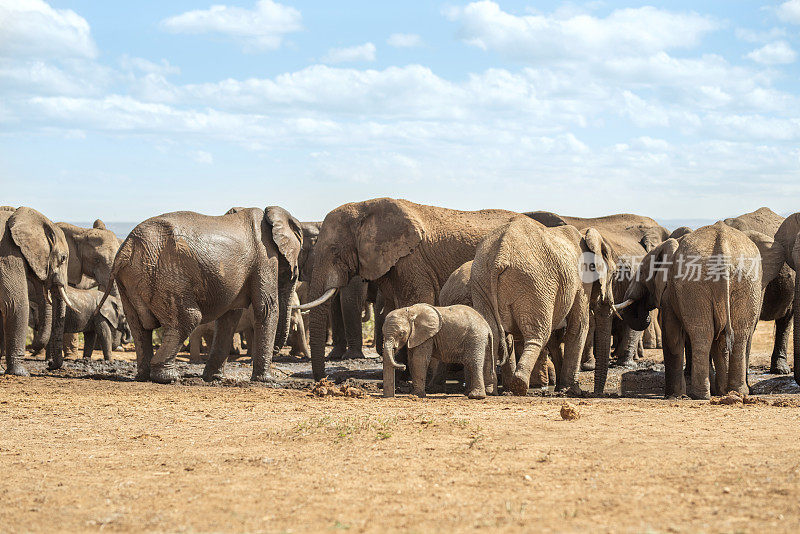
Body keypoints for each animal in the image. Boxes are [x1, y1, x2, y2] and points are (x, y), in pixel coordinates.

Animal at [97, 206, 304, 386]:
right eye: (290, 273)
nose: (278, 349)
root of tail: (126, 249)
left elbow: (229, 317)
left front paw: (214, 378)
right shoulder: (264, 257)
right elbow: (266, 308)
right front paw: (267, 380)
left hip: (130, 280)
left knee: (138, 326)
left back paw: (144, 376)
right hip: (164, 275)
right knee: (188, 319)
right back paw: (169, 377)